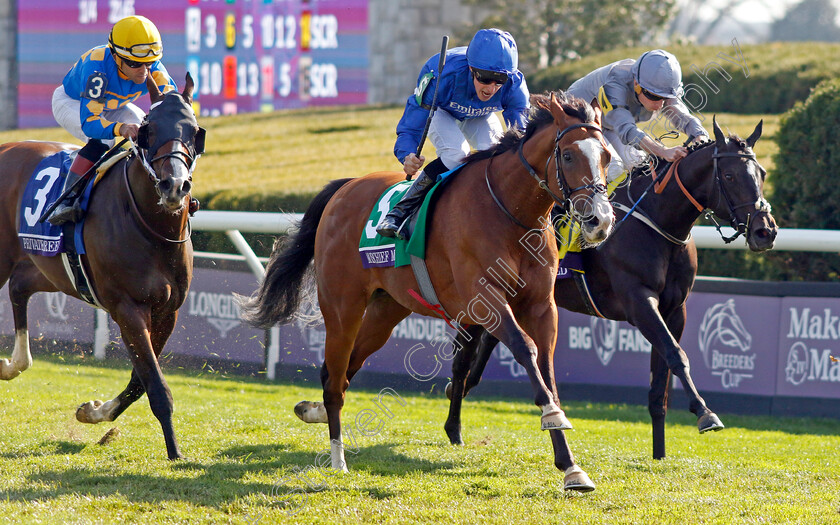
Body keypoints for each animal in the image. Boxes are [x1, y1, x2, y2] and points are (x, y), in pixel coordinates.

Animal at [0, 73, 203, 458]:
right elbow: (155, 384)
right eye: (149, 129)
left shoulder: (167, 310)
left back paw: (13, 363)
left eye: (194, 130)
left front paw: (94, 412)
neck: (150, 227)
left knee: (20, 288)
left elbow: (140, 380)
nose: (174, 185)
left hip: (48, 269)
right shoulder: (127, 308)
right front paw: (175, 452)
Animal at [240, 93, 612, 492]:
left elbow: (545, 367)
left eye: (607, 156)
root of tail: (345, 188)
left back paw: (314, 411)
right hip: (343, 307)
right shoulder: (487, 300)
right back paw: (338, 458)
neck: (510, 213)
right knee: (336, 377)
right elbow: (525, 351)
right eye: (569, 156)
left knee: (341, 369)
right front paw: (553, 418)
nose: (601, 221)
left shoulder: (541, 306)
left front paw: (571, 465)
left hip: (386, 310)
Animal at [442, 117, 776, 458]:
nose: (765, 231)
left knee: (486, 348)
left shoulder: (674, 309)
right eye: (730, 175)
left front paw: (660, 453)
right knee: (462, 359)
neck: (656, 222)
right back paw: (454, 425)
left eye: (762, 174)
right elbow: (676, 353)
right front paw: (705, 412)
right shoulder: (639, 302)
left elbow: (661, 382)